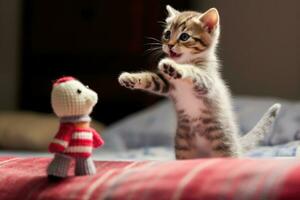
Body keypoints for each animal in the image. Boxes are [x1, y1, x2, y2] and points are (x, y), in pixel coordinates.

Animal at [118, 5, 282, 159]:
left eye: (184, 36)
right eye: (167, 34)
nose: (169, 45)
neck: (187, 60)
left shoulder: (207, 82)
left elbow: (193, 71)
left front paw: (175, 67)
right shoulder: (167, 85)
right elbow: (152, 79)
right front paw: (129, 78)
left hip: (223, 143)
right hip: (182, 146)